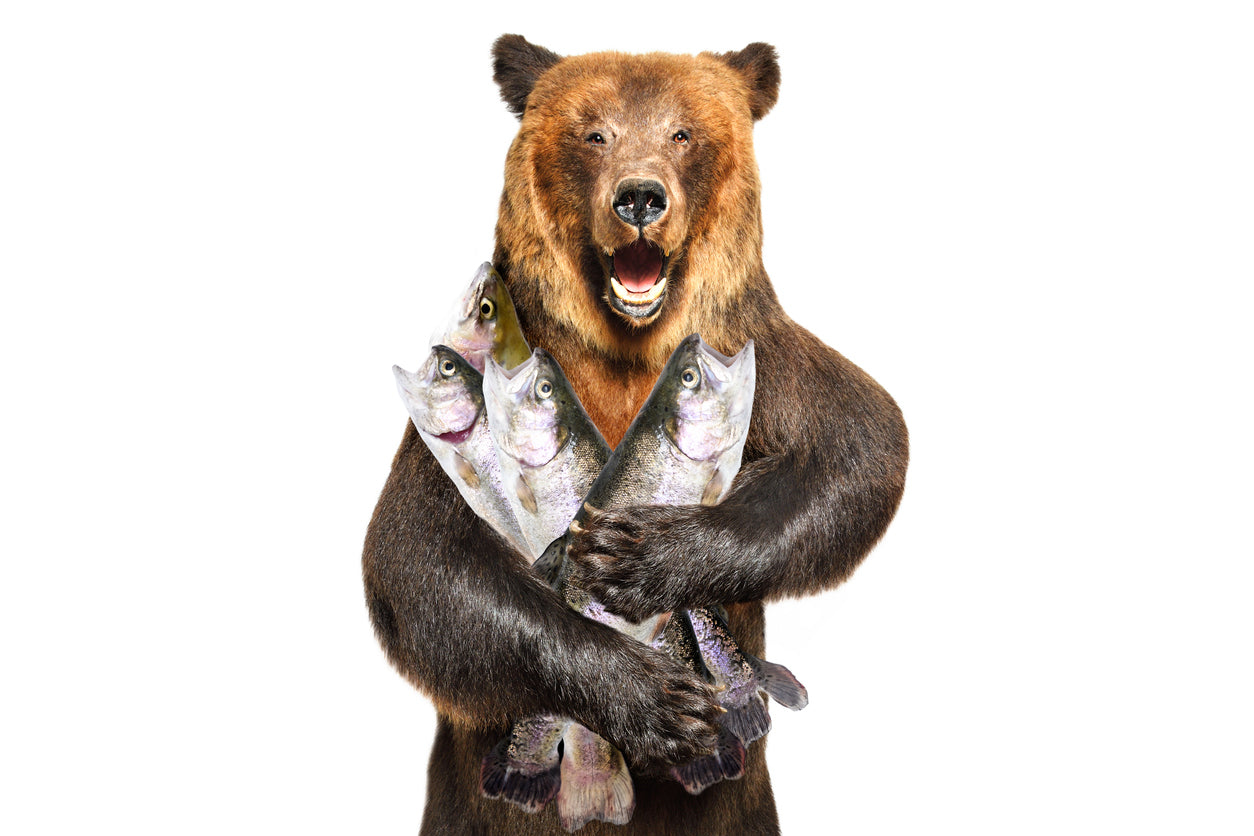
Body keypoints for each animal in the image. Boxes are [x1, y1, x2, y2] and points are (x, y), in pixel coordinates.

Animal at [362, 35, 909, 835]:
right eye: (594, 134)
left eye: (684, 133)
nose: (641, 197)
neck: (629, 346)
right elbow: (419, 559)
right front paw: (651, 699)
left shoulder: (760, 348)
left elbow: (858, 447)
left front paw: (642, 556)